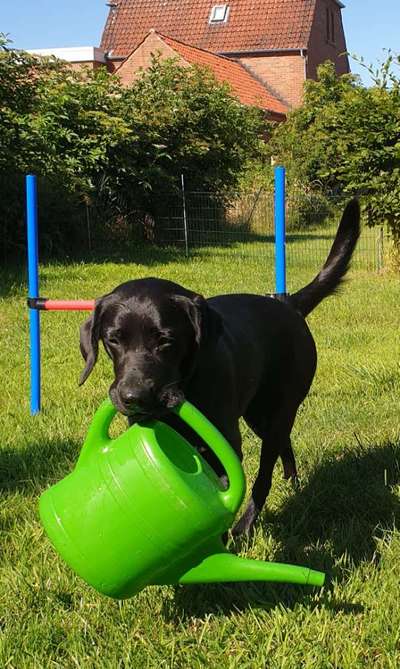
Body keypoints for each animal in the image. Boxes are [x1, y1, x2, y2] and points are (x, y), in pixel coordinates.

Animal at [79, 198, 360, 532]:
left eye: (166, 341)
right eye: (113, 339)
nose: (134, 397)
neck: (188, 383)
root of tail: (288, 305)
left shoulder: (226, 444)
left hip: (279, 408)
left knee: (264, 476)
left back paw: (244, 527)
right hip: (258, 415)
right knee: (284, 445)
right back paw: (292, 485)